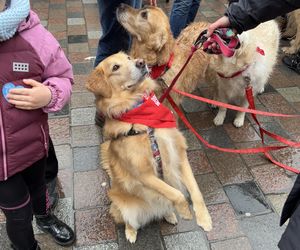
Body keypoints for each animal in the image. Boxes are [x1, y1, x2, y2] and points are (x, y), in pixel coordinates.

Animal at [85, 52, 212, 242]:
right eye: (115, 67)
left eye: (129, 58)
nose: (141, 62)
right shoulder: (142, 174)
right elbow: (176, 193)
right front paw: (185, 211)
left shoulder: (179, 153)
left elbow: (195, 190)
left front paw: (204, 218)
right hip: (122, 205)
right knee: (130, 220)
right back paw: (131, 232)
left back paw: (169, 215)